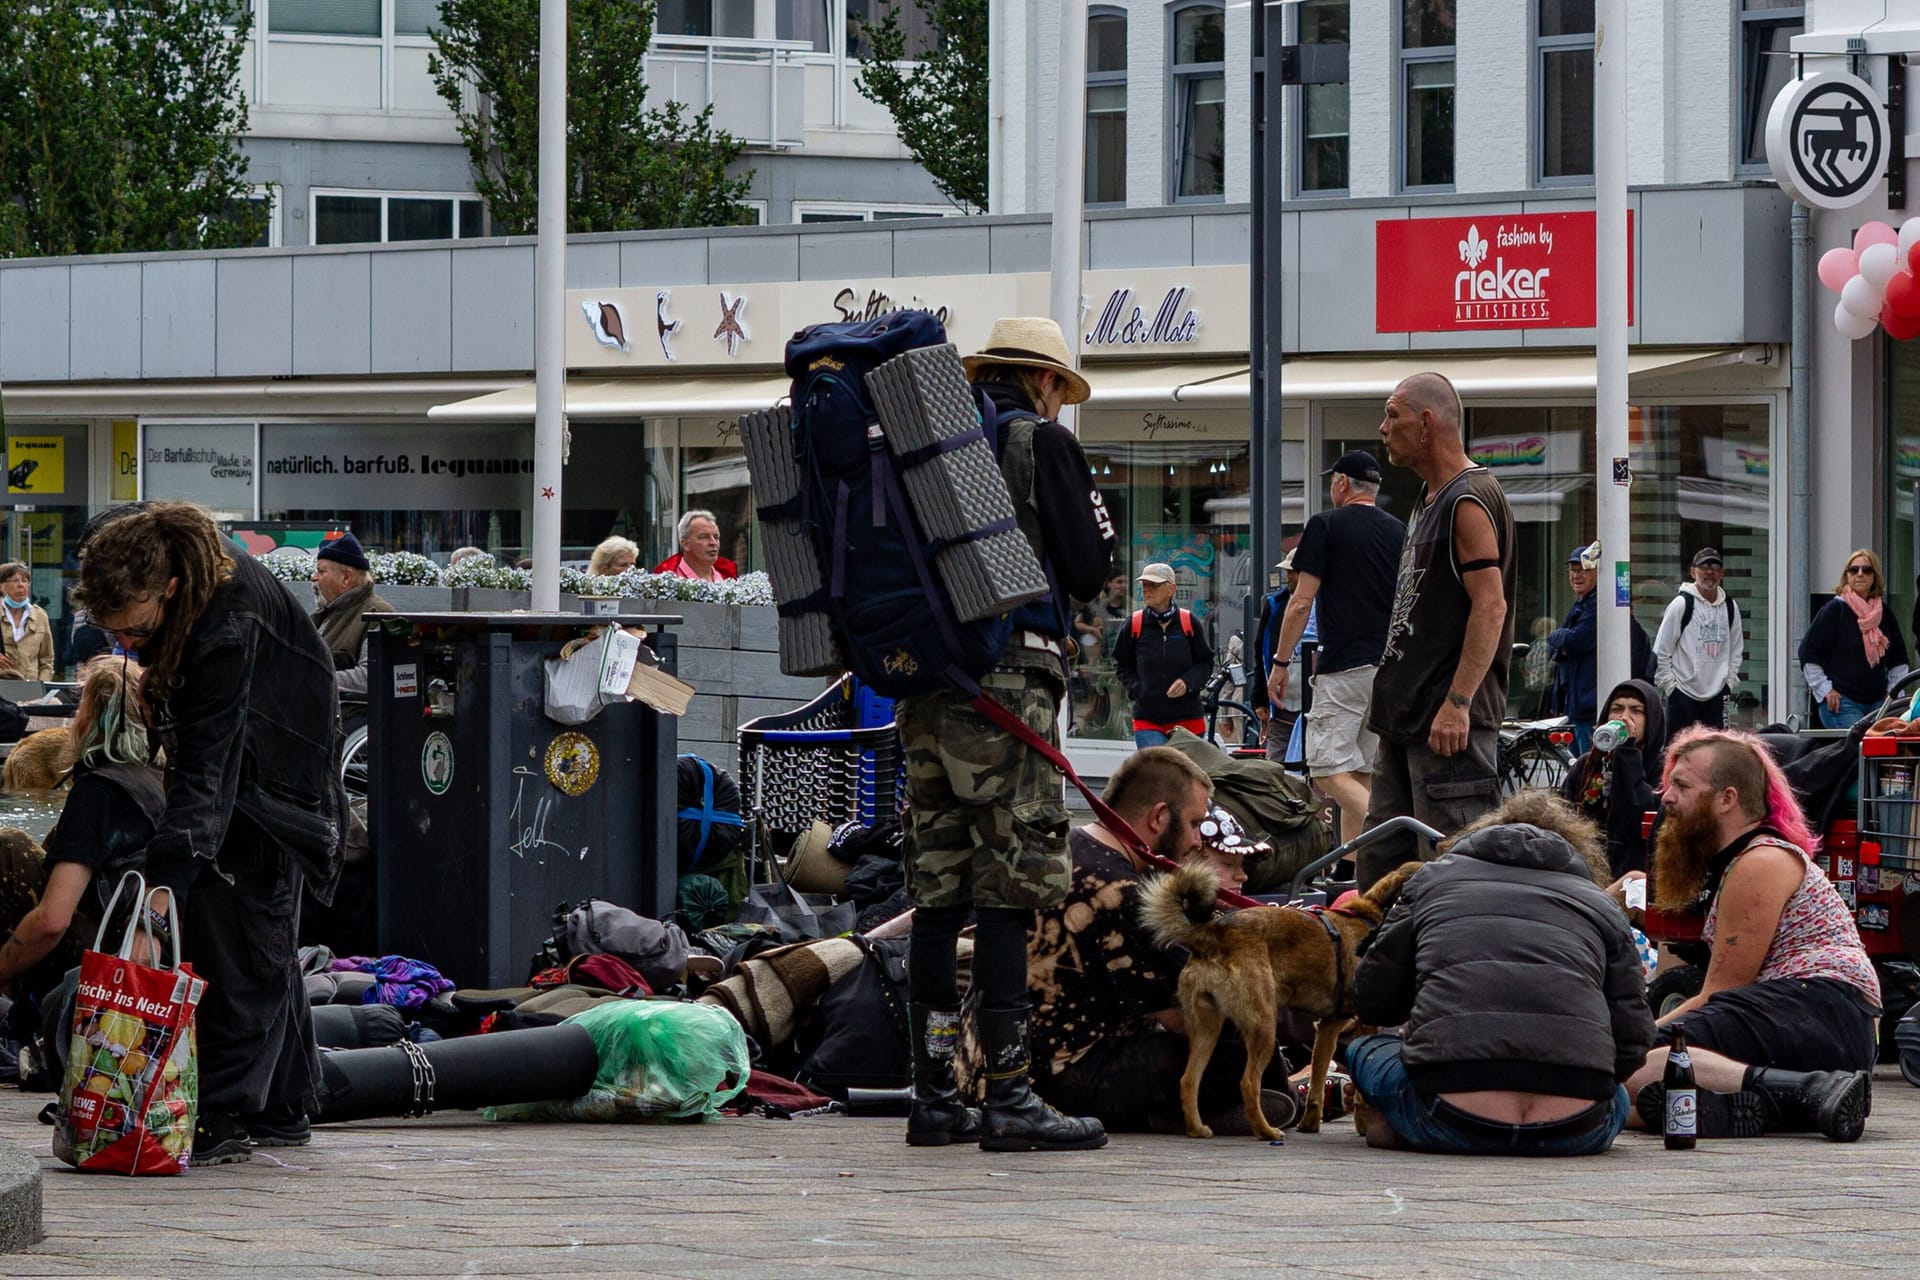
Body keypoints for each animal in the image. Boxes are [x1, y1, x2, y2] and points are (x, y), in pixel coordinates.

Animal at [1136, 859, 1428, 1143]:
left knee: (1188, 1080)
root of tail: (1213, 933)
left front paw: (1310, 1124)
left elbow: (1317, 1082)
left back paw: (1197, 1128)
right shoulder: (1364, 1025)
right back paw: (1265, 1131)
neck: (1371, 915)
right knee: (1248, 1083)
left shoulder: (1327, 1028)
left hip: (1207, 1027)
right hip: (1264, 1026)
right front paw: (1364, 1125)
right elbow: (1359, 1093)